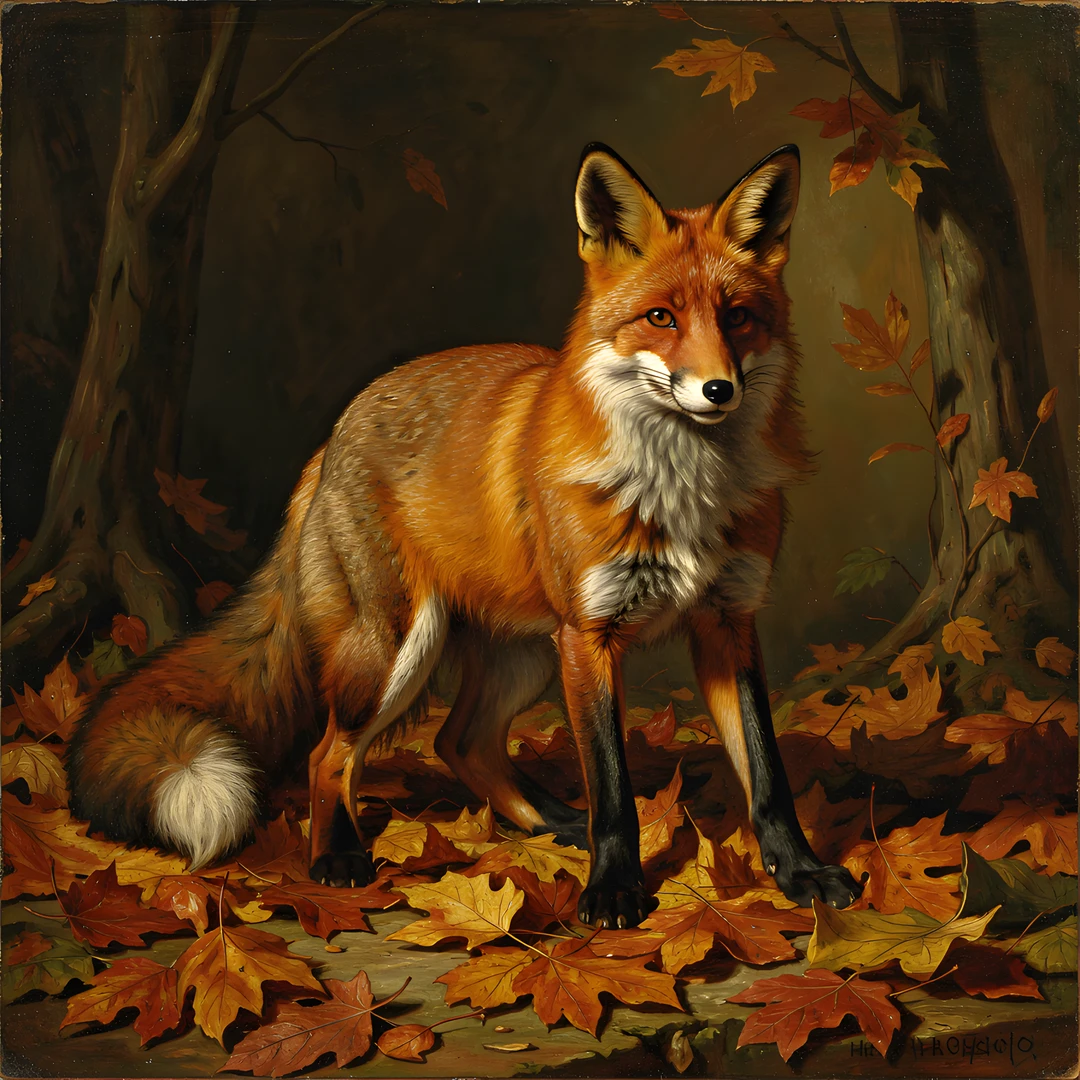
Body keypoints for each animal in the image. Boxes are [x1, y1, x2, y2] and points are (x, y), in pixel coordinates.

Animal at [68, 143, 863, 928]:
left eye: (739, 318)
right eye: (661, 318)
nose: (718, 389)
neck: (682, 486)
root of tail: (335, 434)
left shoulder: (728, 621)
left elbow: (767, 775)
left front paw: (799, 872)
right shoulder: (590, 634)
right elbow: (612, 789)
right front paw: (612, 890)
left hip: (525, 658)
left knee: (462, 741)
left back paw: (550, 825)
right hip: (399, 647)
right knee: (329, 755)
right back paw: (338, 858)